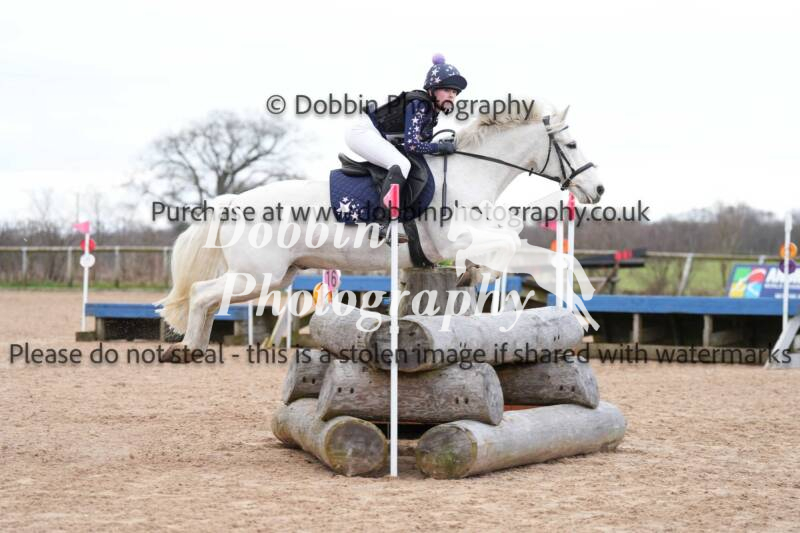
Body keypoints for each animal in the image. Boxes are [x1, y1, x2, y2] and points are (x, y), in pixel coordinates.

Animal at [157, 101, 604, 360]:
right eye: (573, 145)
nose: (597, 190)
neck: (471, 172)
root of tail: (233, 201)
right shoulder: (461, 239)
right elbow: (529, 253)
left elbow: (519, 259)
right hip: (258, 276)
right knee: (202, 294)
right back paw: (187, 349)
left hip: (276, 276)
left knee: (209, 299)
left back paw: (194, 348)